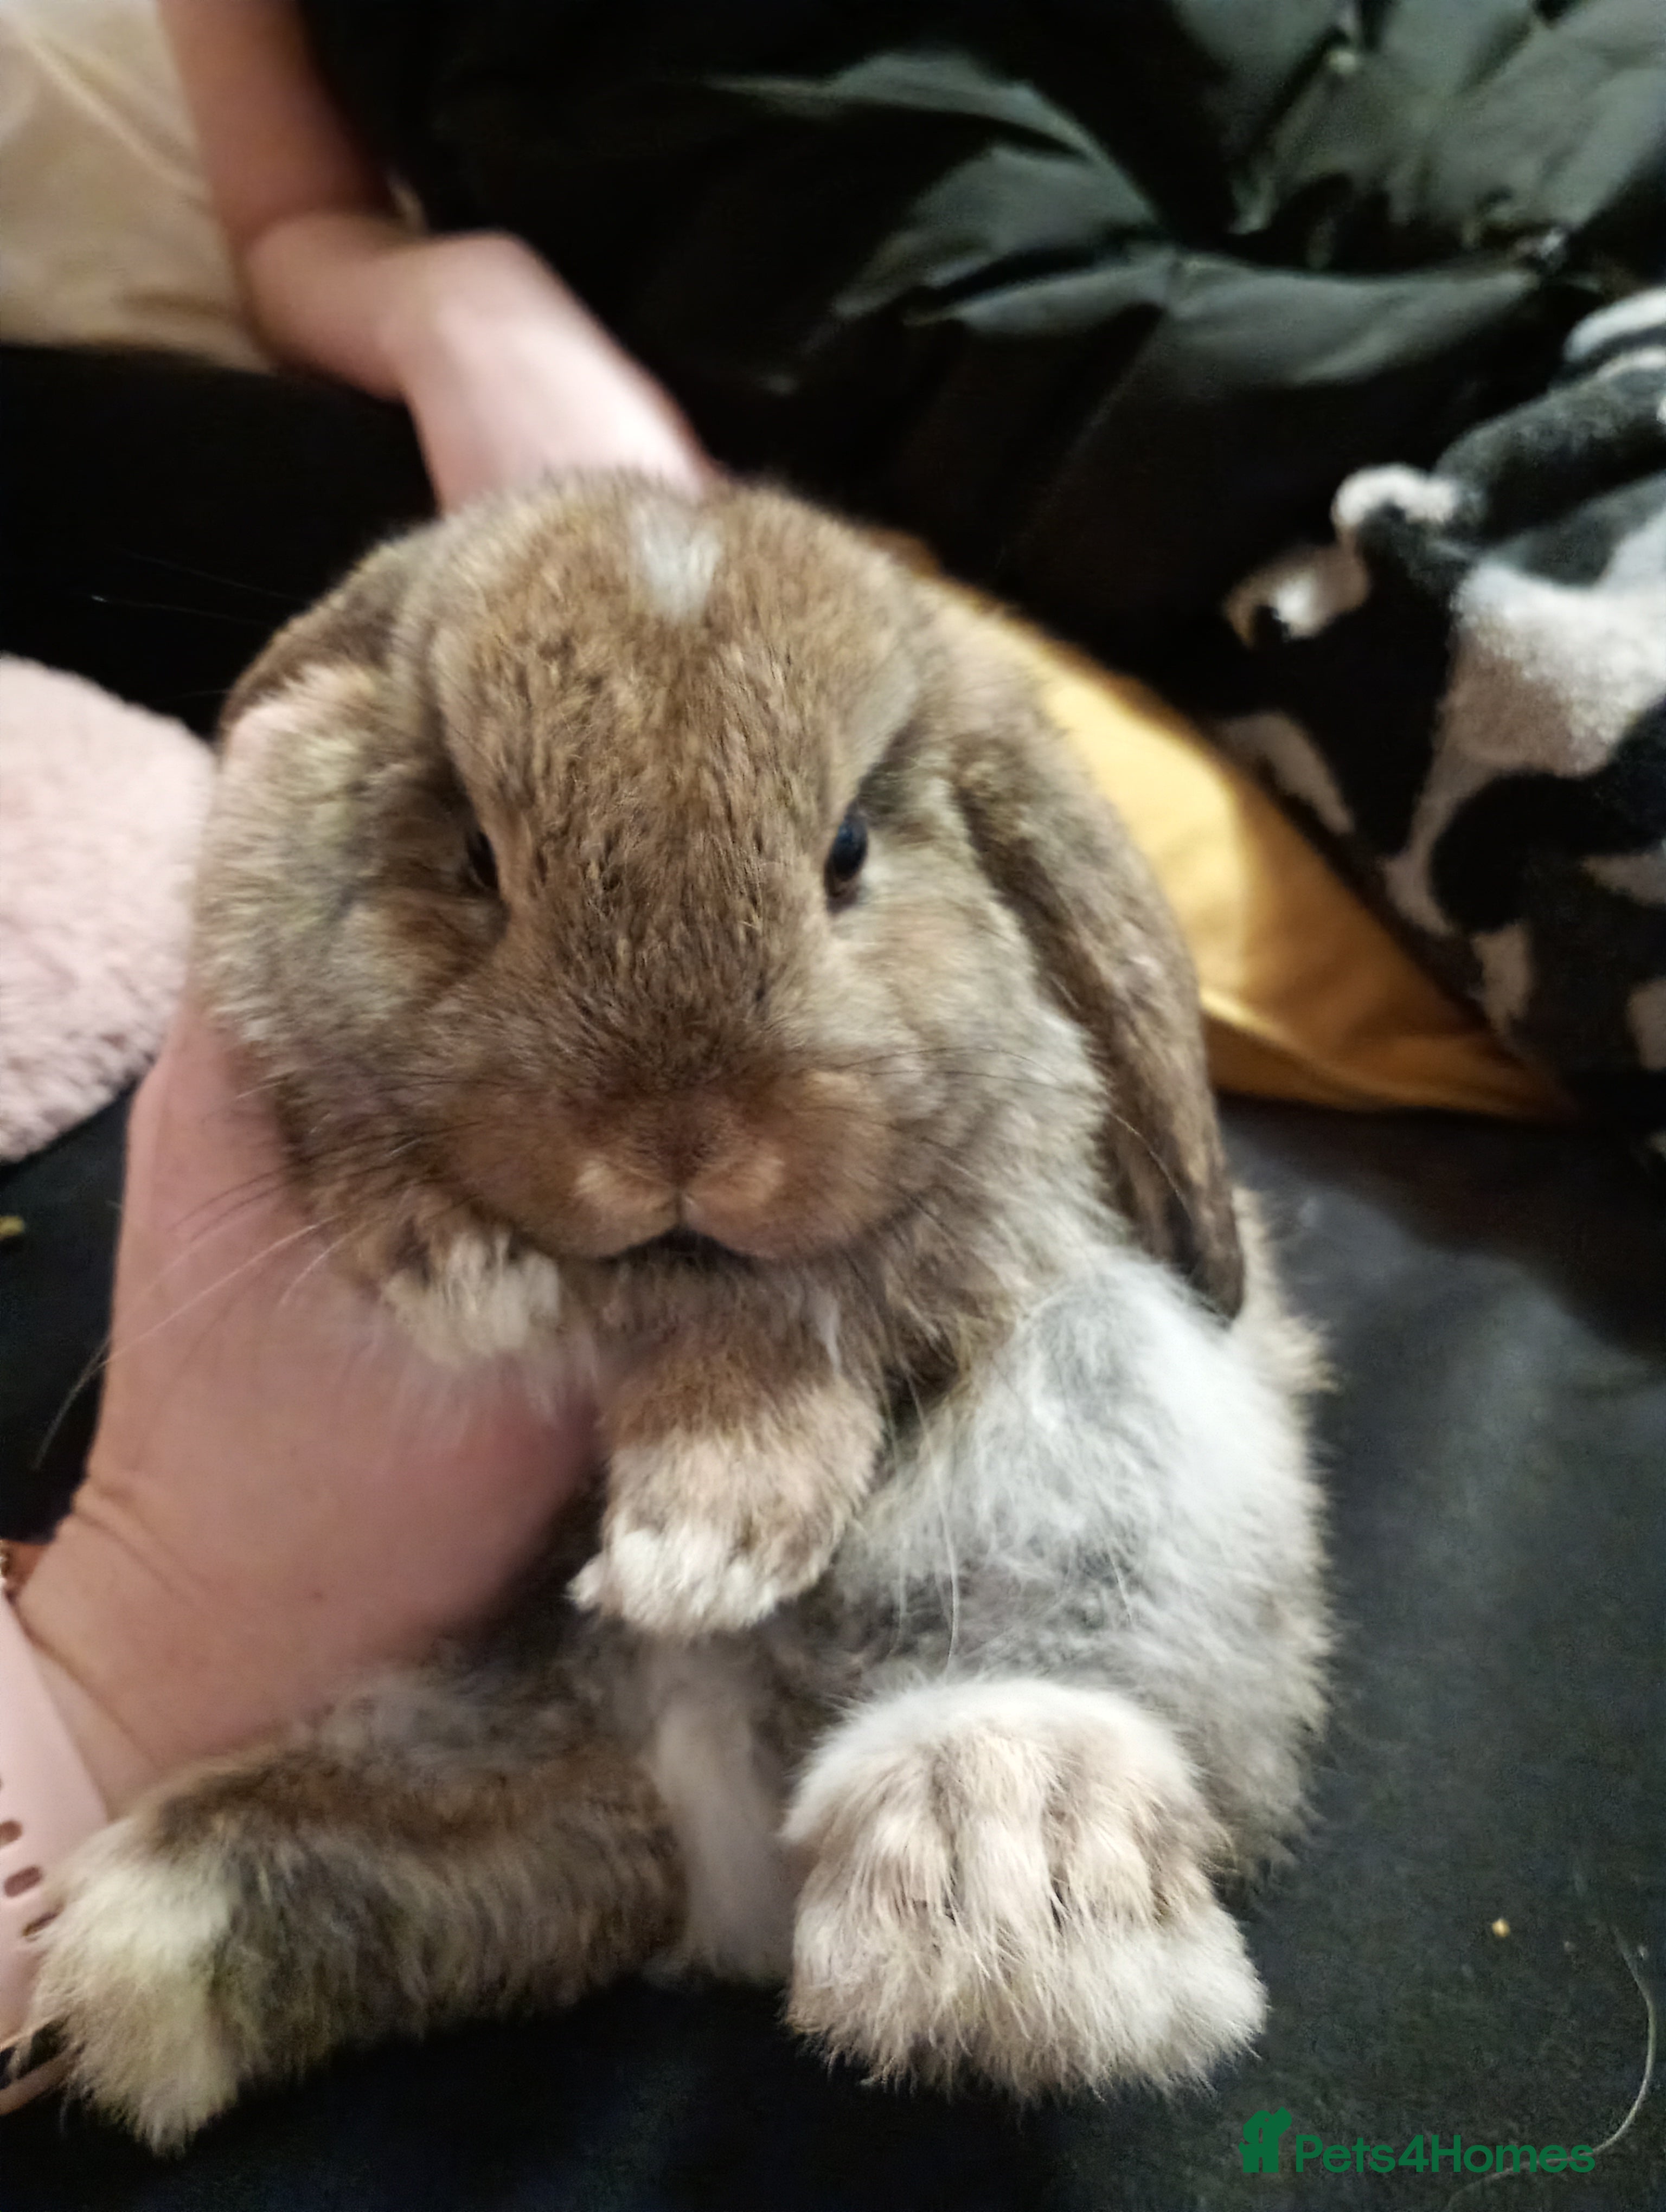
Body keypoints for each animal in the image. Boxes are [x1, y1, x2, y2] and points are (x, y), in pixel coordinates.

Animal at [24, 477, 1328, 2149]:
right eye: (473, 856)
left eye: (849, 849)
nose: (676, 1140)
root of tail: (724, 1868)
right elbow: (348, 1129)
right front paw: (456, 1270)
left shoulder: (981, 1221)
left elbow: (812, 1318)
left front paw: (698, 1542)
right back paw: (136, 1953)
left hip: (1106, 1419)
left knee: (1042, 1662)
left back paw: (997, 1877)